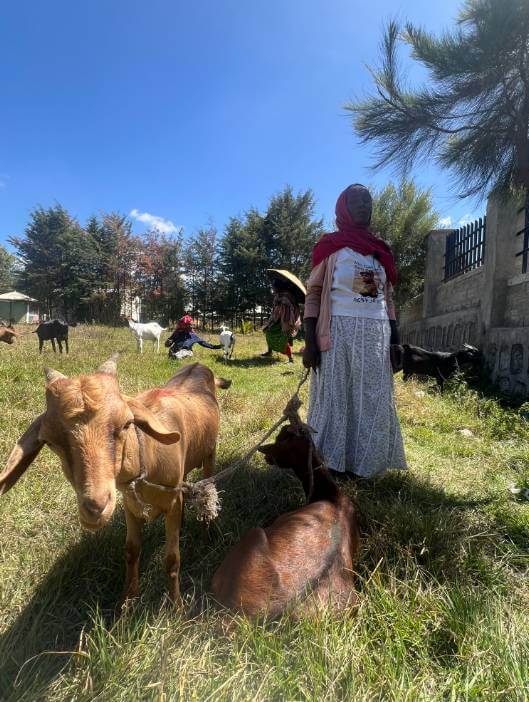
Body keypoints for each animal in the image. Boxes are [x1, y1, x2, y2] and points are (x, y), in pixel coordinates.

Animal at [0, 360, 231, 608]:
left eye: (127, 423)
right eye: (50, 441)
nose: (95, 507)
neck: (146, 455)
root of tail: (199, 364)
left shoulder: (171, 504)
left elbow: (171, 559)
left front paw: (176, 607)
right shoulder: (131, 505)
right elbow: (131, 550)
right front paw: (127, 603)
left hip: (210, 454)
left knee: (207, 488)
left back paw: (207, 531)